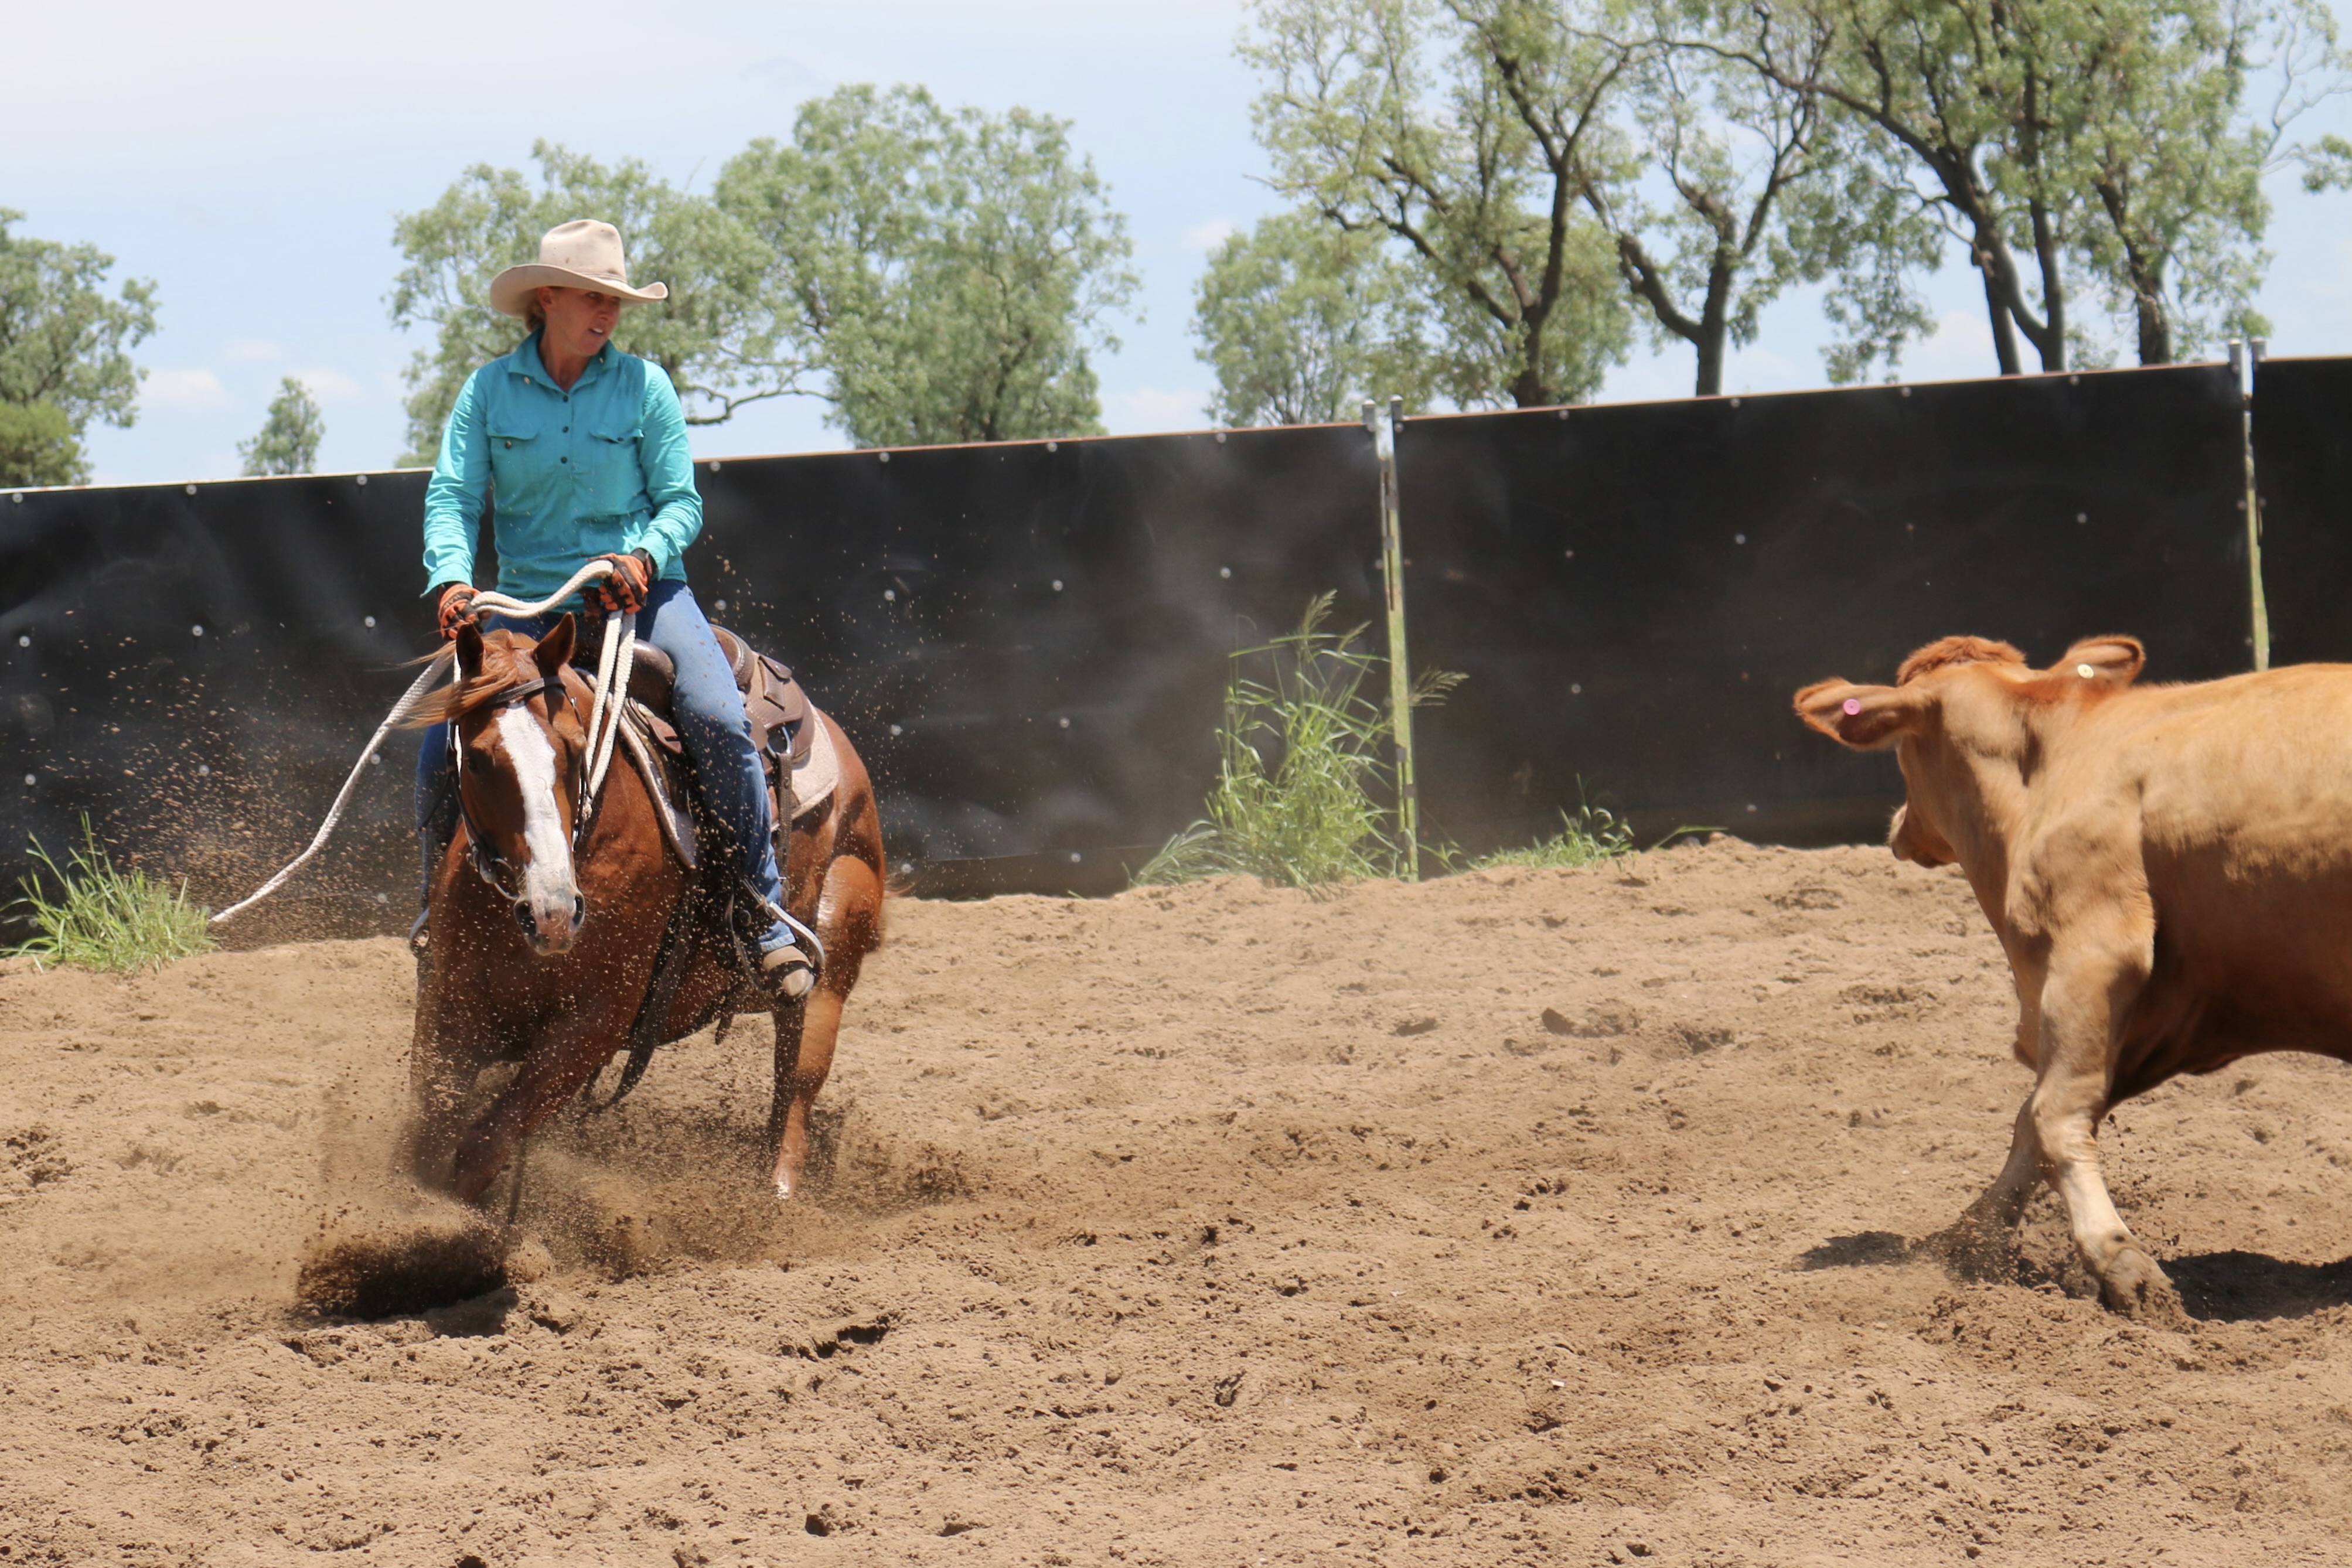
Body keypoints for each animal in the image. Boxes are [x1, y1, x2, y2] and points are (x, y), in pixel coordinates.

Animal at [403, 614, 885, 1207]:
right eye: (474, 759)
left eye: (576, 749)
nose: (552, 912)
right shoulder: (450, 1003)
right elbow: (426, 1133)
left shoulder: (597, 1021)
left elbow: (482, 1147)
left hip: (833, 955)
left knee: (795, 1093)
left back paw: (775, 1199)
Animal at [1795, 632, 2352, 1319]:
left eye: (1904, 750)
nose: (1899, 828)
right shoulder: (2160, 1011)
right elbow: (2033, 1125)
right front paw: (1966, 1243)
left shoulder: (2092, 953)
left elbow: (2053, 1115)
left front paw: (2120, 1262)